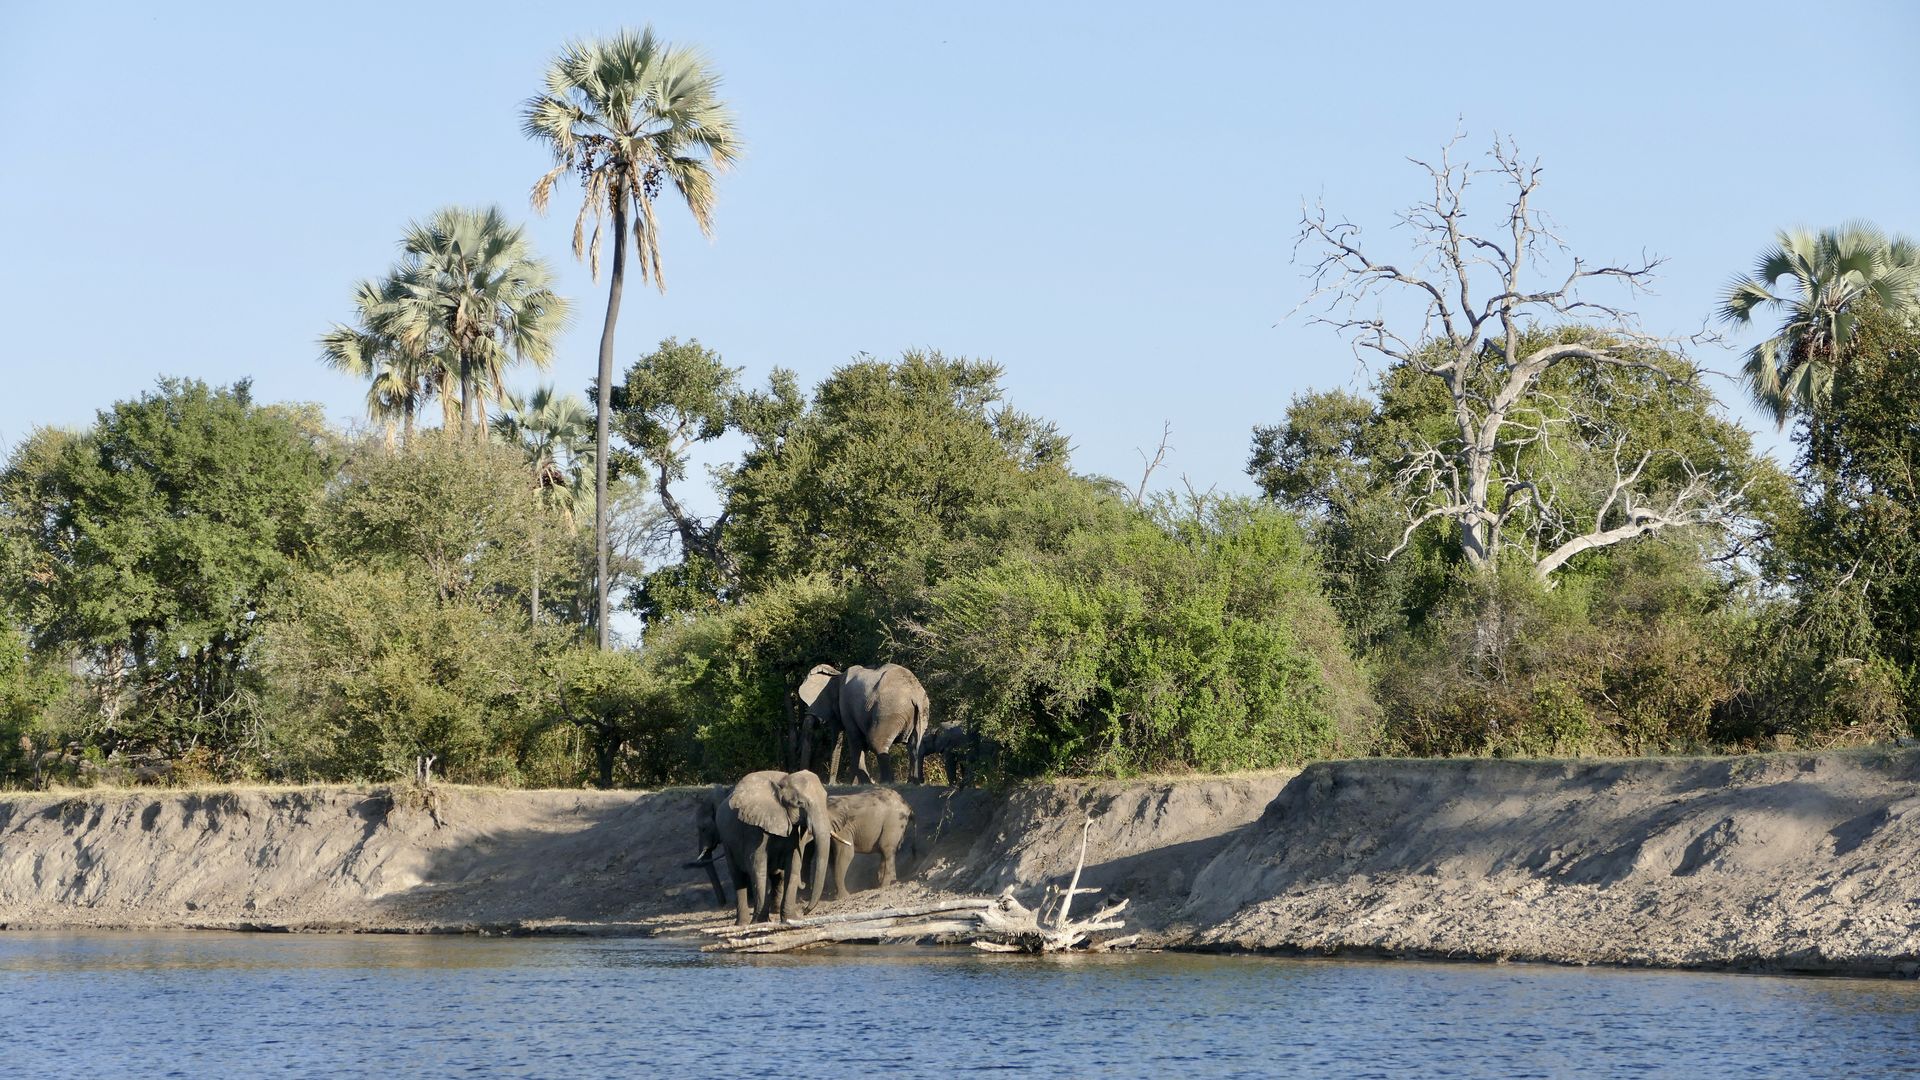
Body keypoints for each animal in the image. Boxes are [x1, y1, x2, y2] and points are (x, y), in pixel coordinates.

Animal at [706, 764, 825, 926]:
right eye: (800, 803)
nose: (804, 910)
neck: (782, 782)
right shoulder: (753, 828)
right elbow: (758, 865)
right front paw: (760, 922)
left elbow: (793, 865)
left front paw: (791, 919)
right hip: (727, 841)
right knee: (738, 877)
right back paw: (742, 924)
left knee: (776, 876)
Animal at [798, 657, 933, 780]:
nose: (832, 783)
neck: (837, 675)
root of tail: (914, 693)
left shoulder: (847, 706)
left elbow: (856, 741)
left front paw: (865, 782)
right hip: (922, 710)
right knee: (914, 747)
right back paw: (913, 782)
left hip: (889, 711)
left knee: (876, 743)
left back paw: (886, 782)